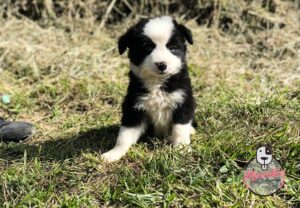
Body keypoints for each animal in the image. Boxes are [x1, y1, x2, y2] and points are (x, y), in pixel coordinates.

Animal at [101, 16, 195, 162]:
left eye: (172, 48)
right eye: (147, 48)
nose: (162, 64)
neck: (157, 82)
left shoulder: (183, 101)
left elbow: (180, 129)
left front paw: (182, 149)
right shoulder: (134, 107)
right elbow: (124, 135)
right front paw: (114, 153)